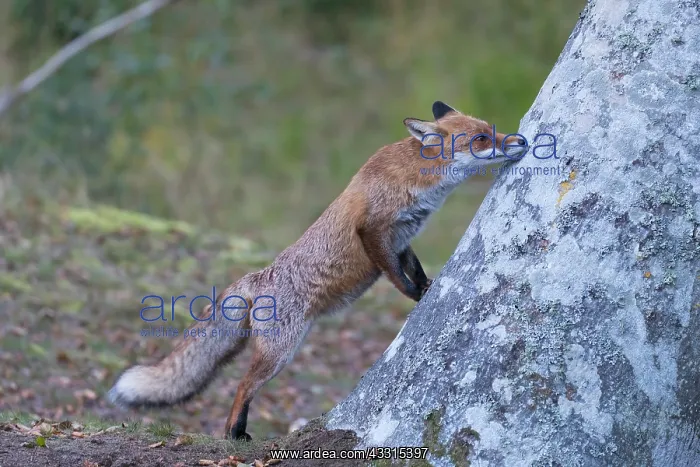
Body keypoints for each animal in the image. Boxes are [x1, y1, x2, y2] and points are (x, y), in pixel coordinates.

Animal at [107, 101, 527, 440]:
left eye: (492, 129)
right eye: (481, 138)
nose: (521, 140)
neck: (420, 180)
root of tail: (258, 277)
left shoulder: (401, 237)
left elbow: (413, 267)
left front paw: (425, 287)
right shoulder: (373, 232)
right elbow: (394, 275)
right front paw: (413, 295)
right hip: (282, 351)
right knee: (243, 385)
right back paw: (233, 433)